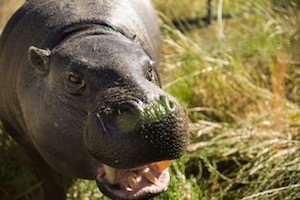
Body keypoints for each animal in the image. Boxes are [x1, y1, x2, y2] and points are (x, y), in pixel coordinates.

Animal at [0, 0, 189, 199]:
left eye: (150, 67)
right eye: (73, 78)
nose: (153, 110)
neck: (86, 32)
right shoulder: (29, 146)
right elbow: (51, 184)